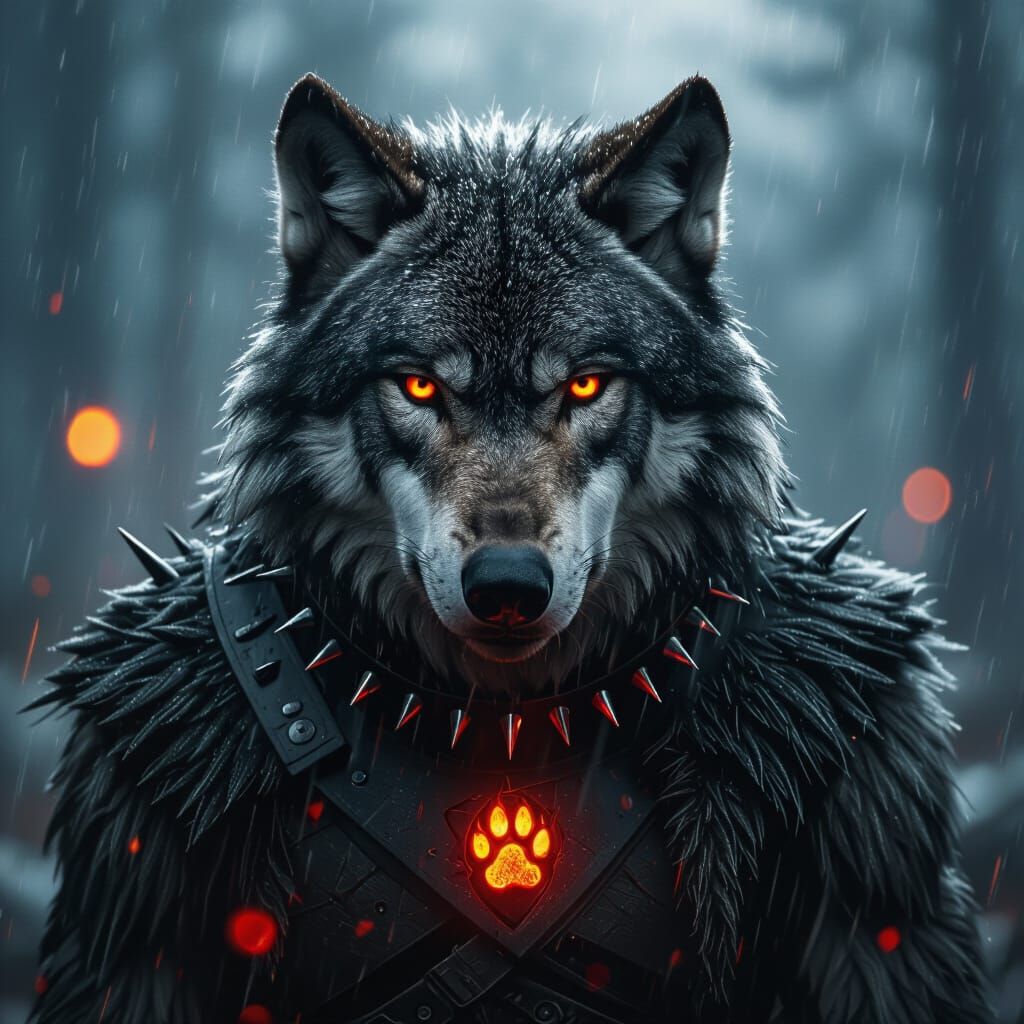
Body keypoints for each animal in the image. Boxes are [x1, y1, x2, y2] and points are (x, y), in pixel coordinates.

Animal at [30, 74, 991, 1023]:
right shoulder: (141, 858)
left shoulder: (869, 838)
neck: (503, 723)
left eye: (587, 385)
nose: (505, 584)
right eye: (420, 386)